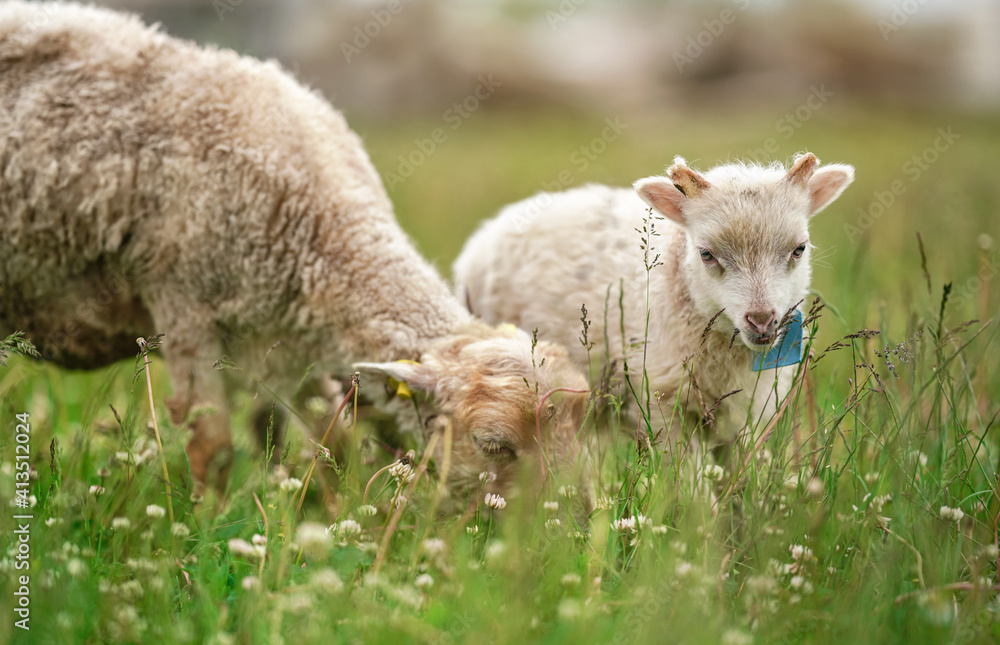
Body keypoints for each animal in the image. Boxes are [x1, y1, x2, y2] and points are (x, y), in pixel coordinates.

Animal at [0, 1, 590, 508]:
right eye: (493, 444)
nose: (568, 526)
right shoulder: (183, 310)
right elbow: (214, 450)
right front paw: (203, 535)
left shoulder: (288, 344)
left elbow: (333, 447)